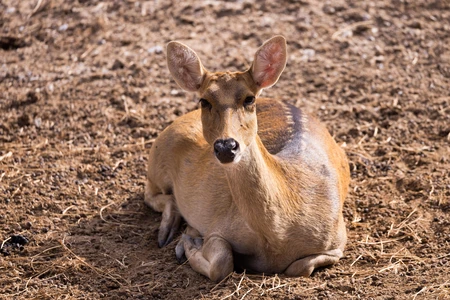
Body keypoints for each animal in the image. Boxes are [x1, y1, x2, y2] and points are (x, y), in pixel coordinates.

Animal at [146, 35, 350, 282]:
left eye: (249, 98)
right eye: (204, 101)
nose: (226, 146)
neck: (278, 238)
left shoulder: (337, 240)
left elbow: (299, 268)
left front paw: (190, 242)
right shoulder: (217, 226)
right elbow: (222, 262)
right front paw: (190, 244)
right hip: (159, 156)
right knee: (152, 194)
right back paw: (168, 235)